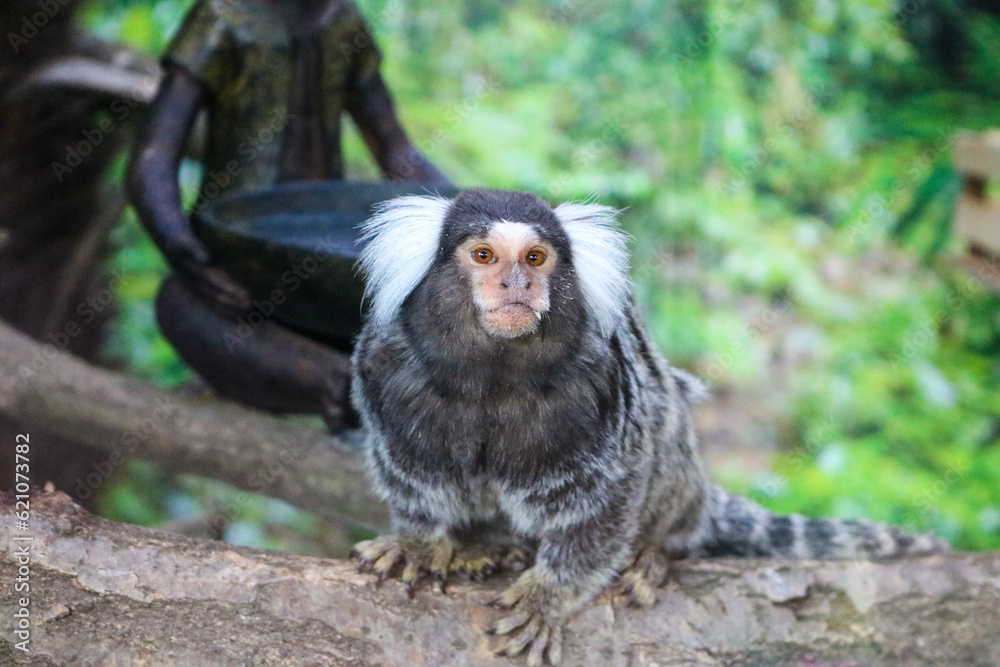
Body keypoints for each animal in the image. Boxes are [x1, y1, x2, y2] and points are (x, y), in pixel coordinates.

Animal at [349, 188, 949, 666]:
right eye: (483, 255)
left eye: (536, 258)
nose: (516, 283)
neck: (492, 377)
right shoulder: (387, 370)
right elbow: (411, 476)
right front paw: (420, 544)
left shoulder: (599, 391)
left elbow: (604, 502)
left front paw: (549, 595)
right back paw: (487, 546)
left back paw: (650, 553)